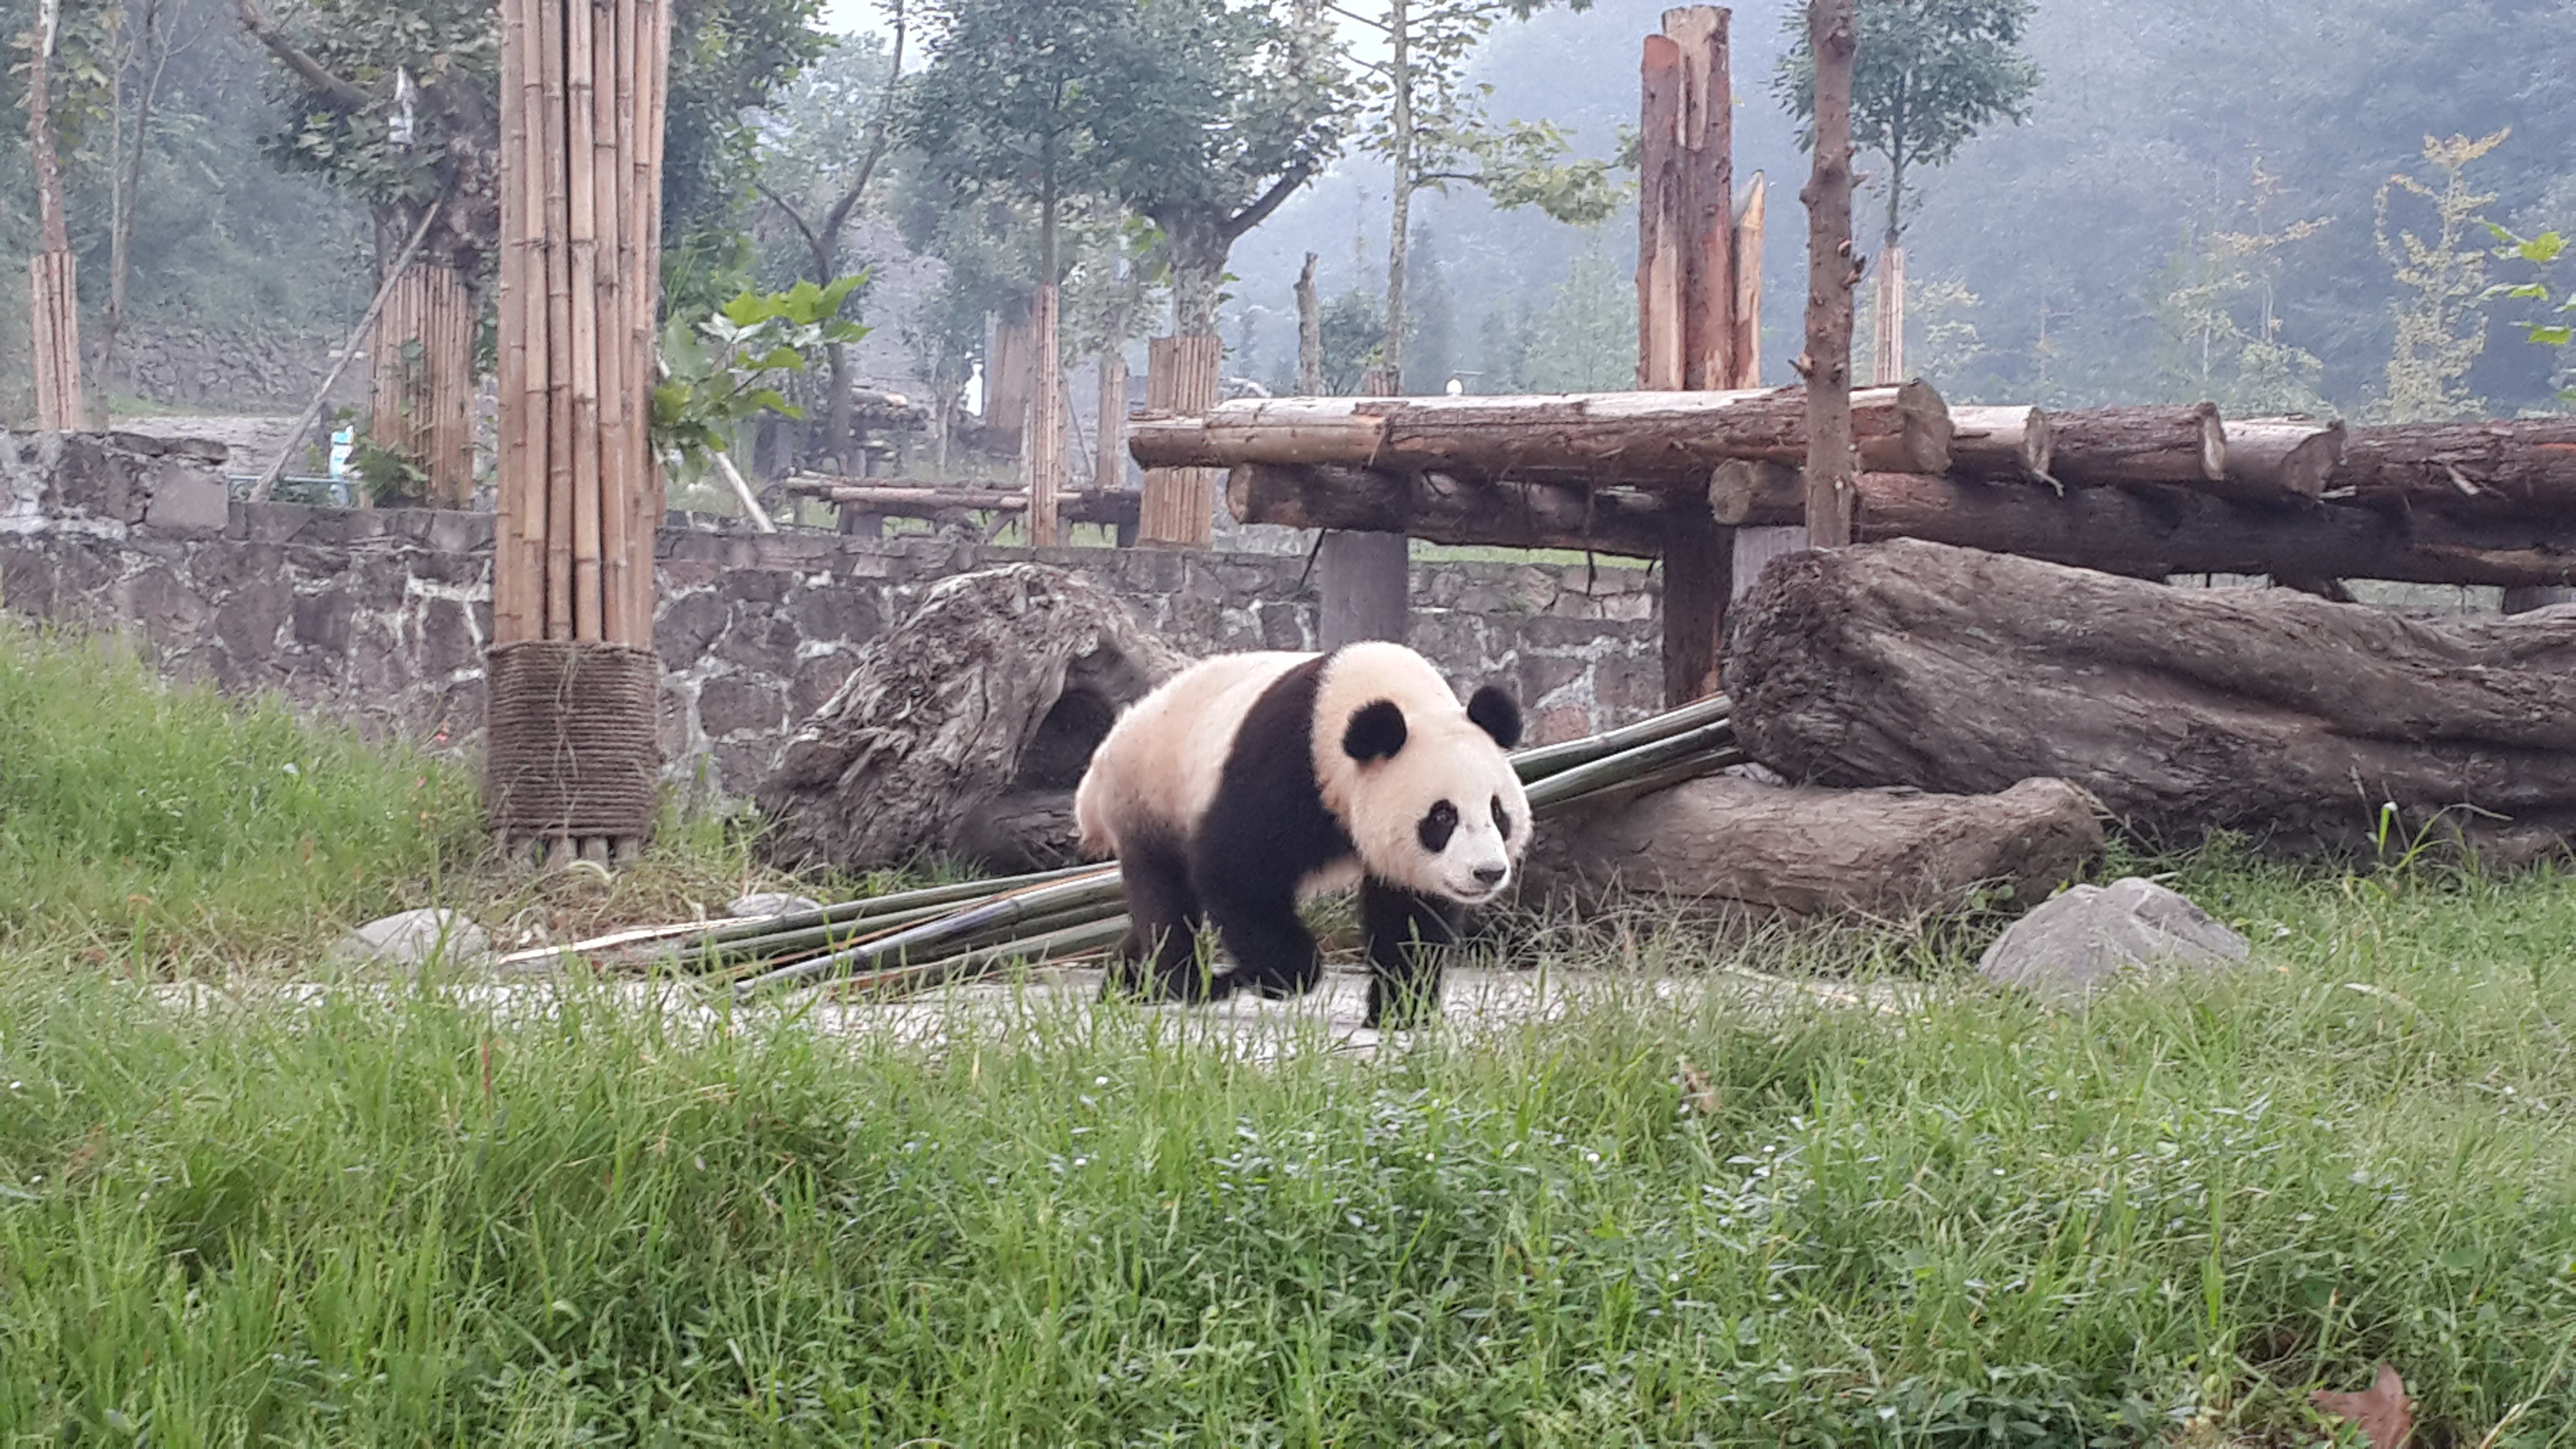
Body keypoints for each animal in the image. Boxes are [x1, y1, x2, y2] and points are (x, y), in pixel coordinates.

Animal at [1071, 637, 1525, 1021]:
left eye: (1498, 812)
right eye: (1443, 817)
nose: (1488, 873)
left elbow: (1409, 914)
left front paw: (1402, 1011)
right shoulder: (1287, 765)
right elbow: (1237, 870)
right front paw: (1284, 975)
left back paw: (1127, 983)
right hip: (1150, 797)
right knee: (1166, 901)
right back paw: (1192, 984)